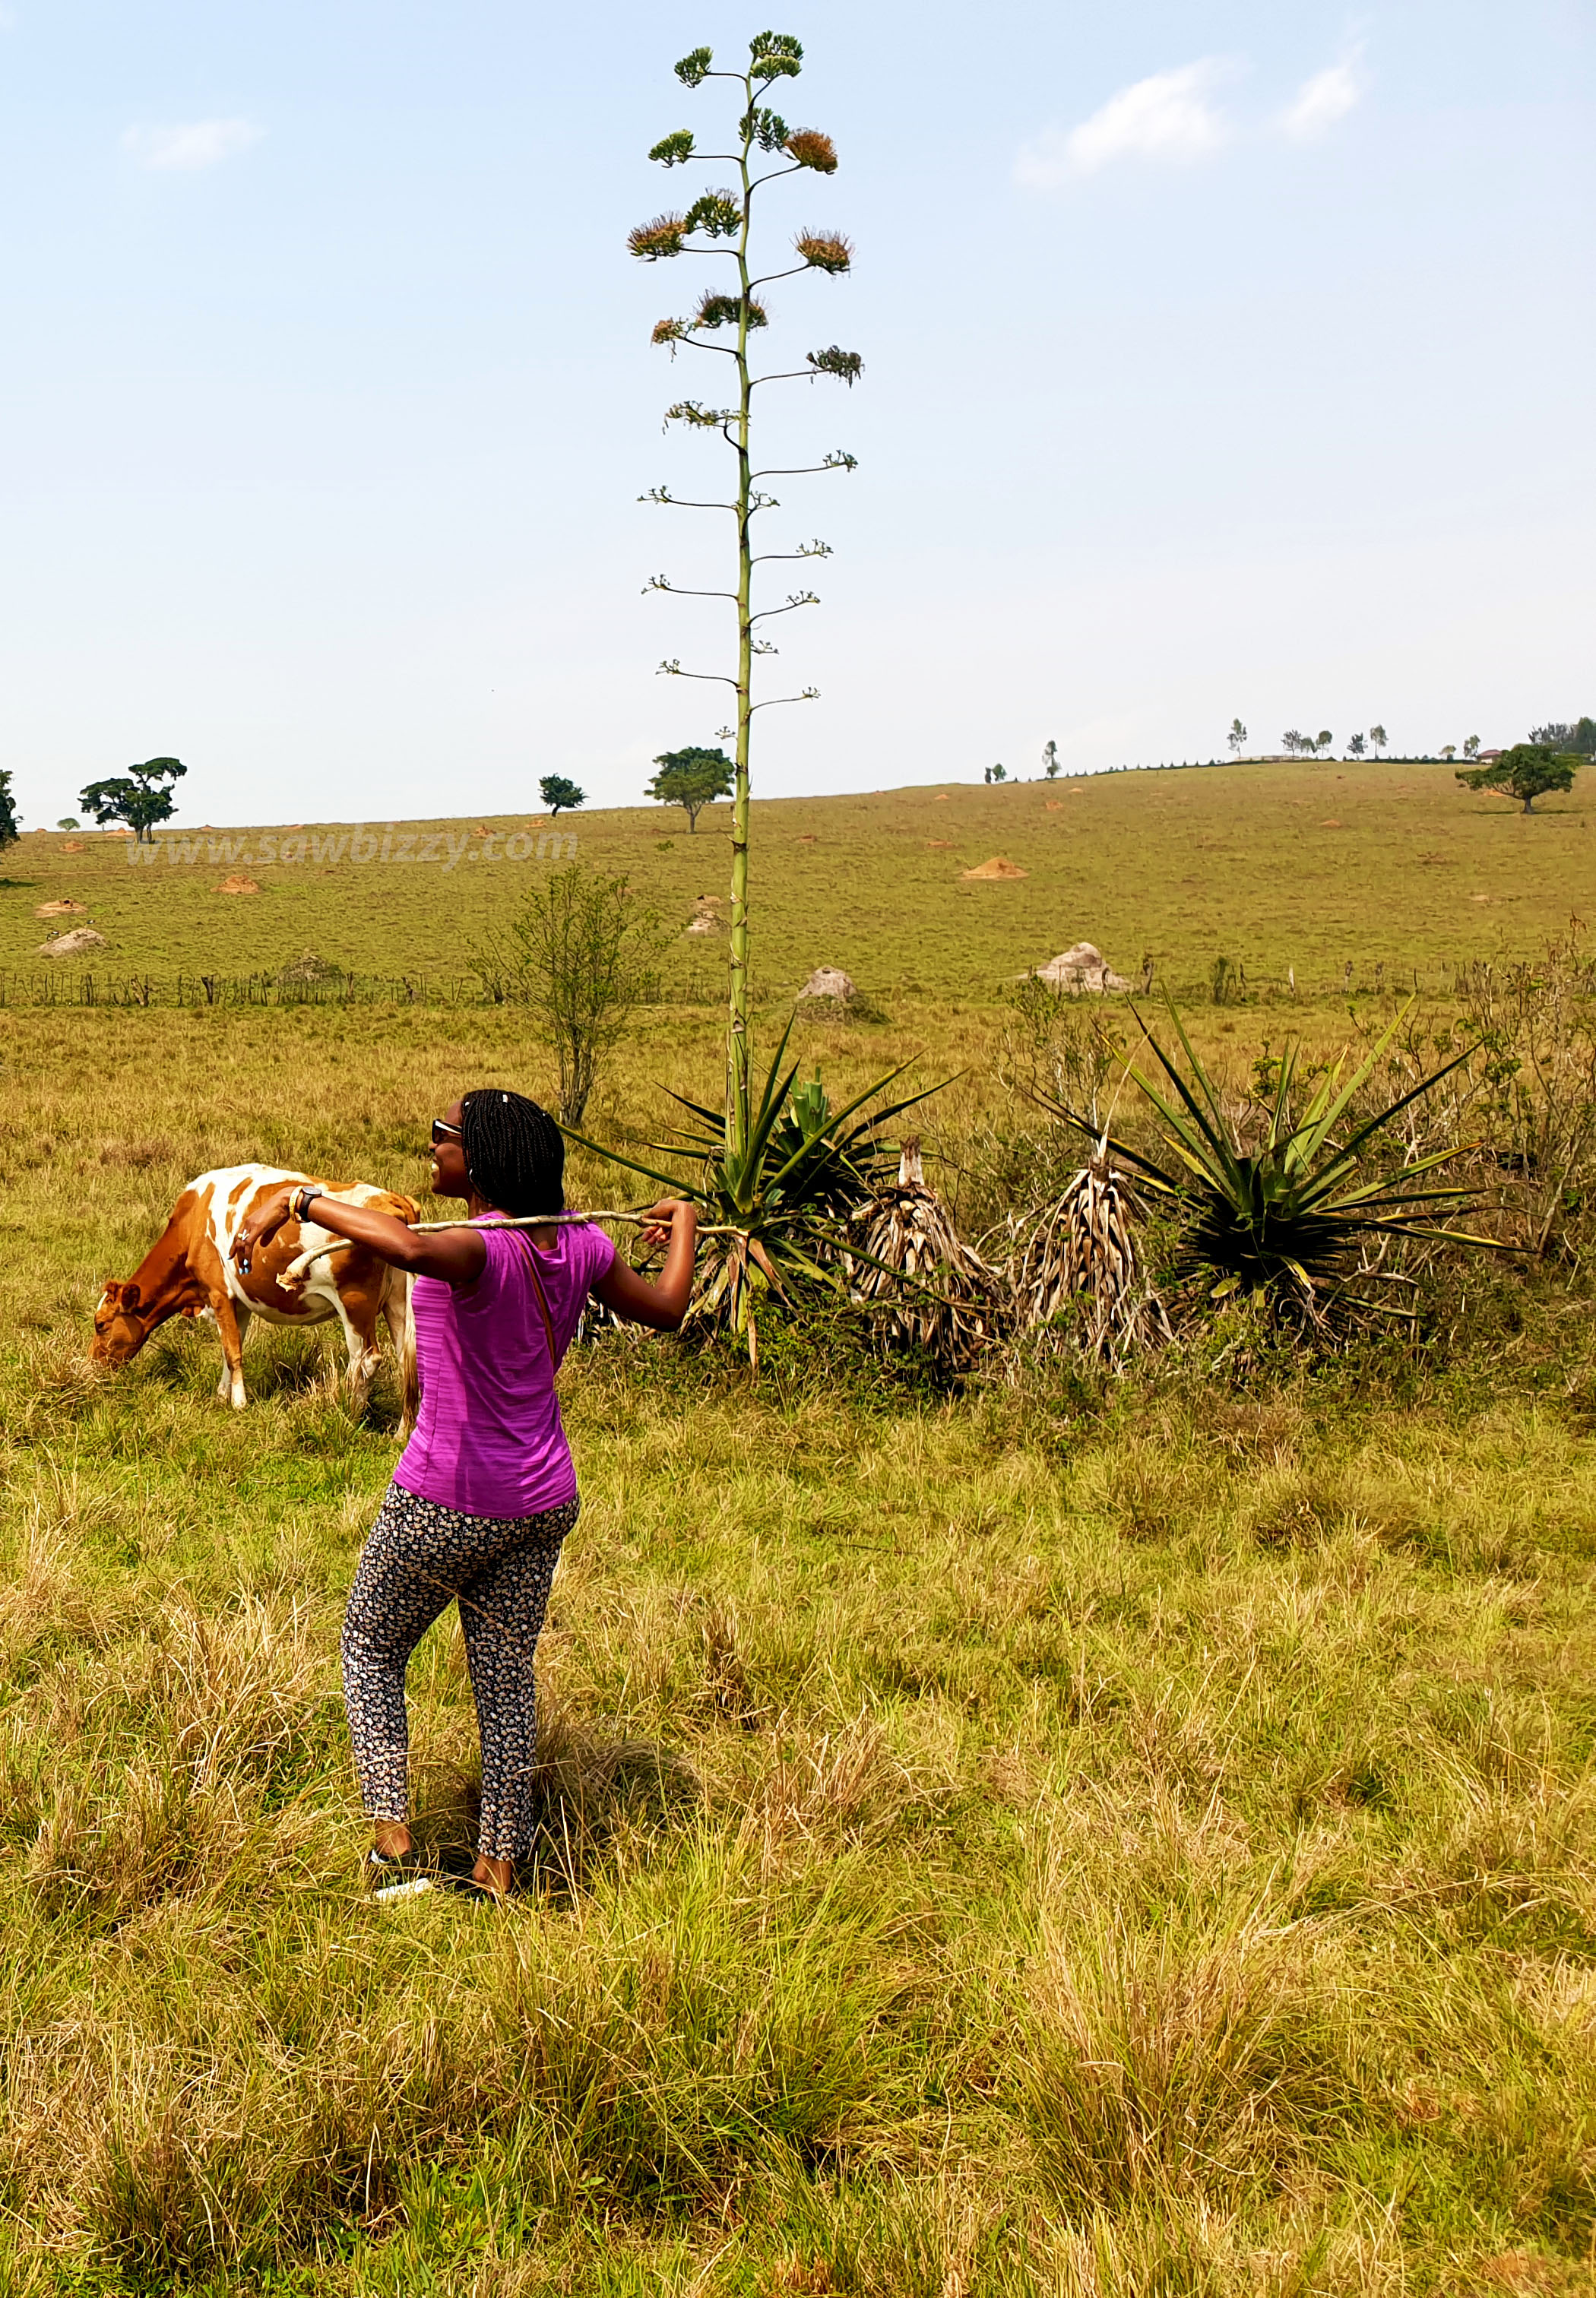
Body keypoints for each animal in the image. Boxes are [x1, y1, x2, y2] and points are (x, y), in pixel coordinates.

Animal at [91, 1165, 418, 1418]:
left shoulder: (218, 1292)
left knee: (366, 1359)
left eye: (101, 1325)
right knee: (407, 1360)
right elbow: (231, 1346)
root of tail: (393, 1199)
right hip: (397, 1303)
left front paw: (238, 1404)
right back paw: (400, 1432)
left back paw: (349, 1414)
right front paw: (222, 1396)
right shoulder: (240, 1303)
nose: (93, 1367)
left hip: (355, 1303)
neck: (192, 1223)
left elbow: (232, 1351)